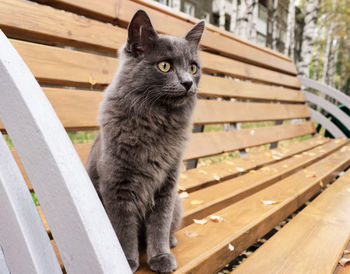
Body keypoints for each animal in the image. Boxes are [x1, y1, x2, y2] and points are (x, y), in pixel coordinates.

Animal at [86, 9, 204, 272]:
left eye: (193, 68)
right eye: (164, 66)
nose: (188, 83)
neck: (157, 121)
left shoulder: (167, 185)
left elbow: (159, 225)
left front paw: (160, 256)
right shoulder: (117, 185)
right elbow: (124, 230)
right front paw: (127, 260)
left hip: (177, 201)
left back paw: (171, 241)